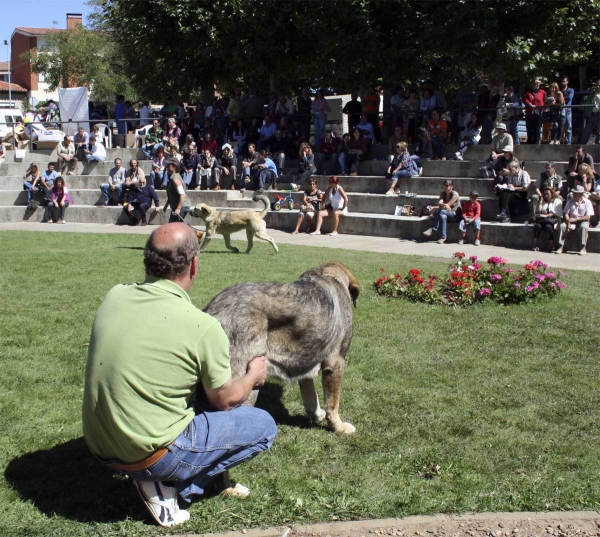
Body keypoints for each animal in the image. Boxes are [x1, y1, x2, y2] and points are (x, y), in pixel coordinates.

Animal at [204, 262, 358, 434]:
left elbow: (311, 397)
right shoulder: (336, 363)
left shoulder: (304, 363)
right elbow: (333, 404)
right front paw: (339, 427)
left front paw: (317, 415)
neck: (326, 275)